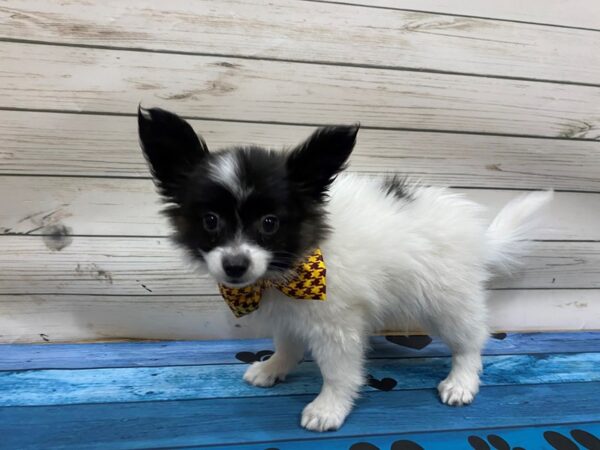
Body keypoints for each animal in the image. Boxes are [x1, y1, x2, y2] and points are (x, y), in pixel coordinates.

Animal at [139, 106, 552, 432]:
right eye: (210, 221)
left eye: (270, 223)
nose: (235, 266)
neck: (291, 266)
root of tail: (480, 236)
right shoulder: (290, 311)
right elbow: (287, 343)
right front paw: (273, 368)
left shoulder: (336, 324)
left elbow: (339, 371)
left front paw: (329, 408)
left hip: (448, 298)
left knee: (470, 340)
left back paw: (461, 381)